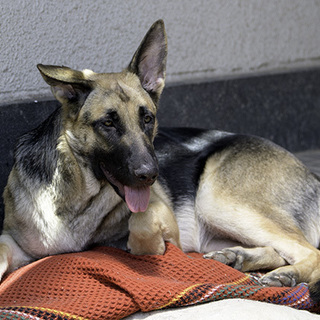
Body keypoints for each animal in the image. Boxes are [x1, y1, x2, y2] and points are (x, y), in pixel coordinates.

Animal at [0, 20, 320, 300]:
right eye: (108, 124)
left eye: (148, 119)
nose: (151, 174)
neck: (77, 199)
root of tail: (312, 175)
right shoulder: (13, 241)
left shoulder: (160, 213)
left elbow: (140, 225)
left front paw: (147, 246)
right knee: (279, 250)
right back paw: (238, 257)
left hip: (217, 200)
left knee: (309, 252)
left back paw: (287, 275)